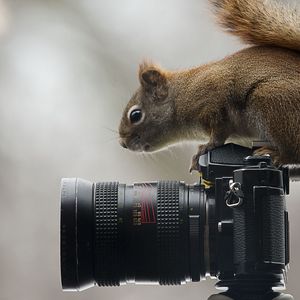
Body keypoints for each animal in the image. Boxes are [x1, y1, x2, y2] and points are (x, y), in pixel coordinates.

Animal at [117, 0, 300, 172]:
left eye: (135, 115)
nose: (123, 143)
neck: (182, 95)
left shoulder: (214, 99)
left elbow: (219, 131)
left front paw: (205, 148)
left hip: (273, 103)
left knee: (293, 150)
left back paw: (276, 155)